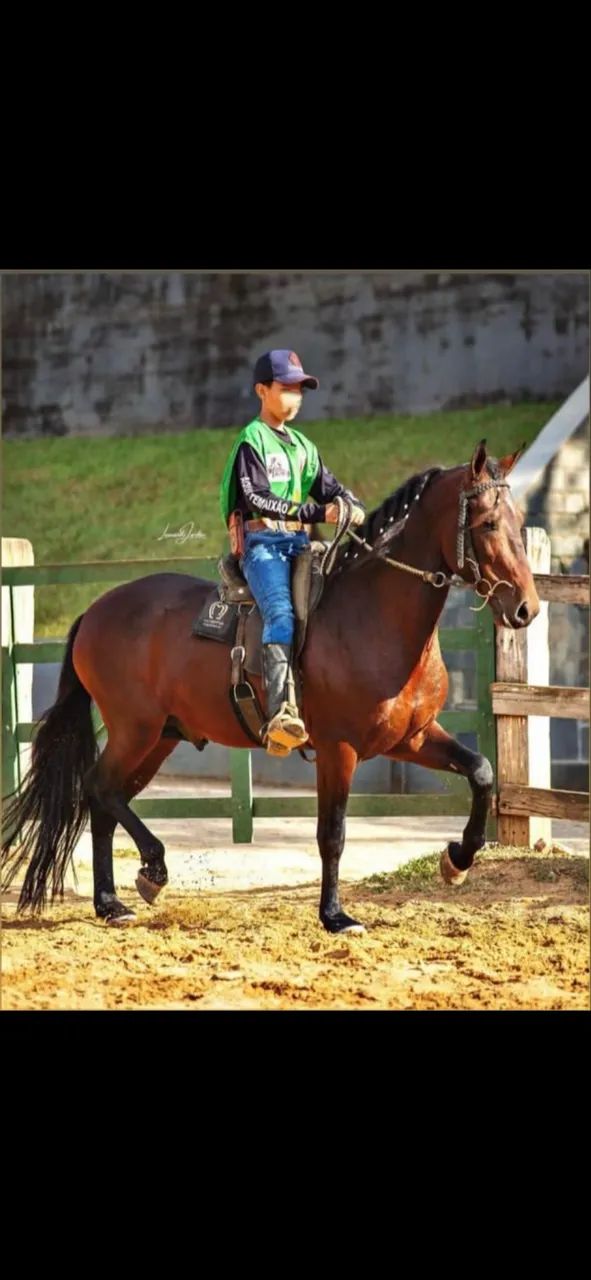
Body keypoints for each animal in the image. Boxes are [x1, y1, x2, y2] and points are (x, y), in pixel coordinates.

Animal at [1, 439, 539, 934]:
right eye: (487, 523)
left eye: (518, 520)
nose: (526, 608)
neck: (371, 615)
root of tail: (95, 611)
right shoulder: (338, 749)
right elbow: (332, 833)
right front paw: (335, 916)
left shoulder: (411, 737)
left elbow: (481, 771)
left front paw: (457, 859)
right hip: (136, 731)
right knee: (99, 788)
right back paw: (146, 873)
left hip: (158, 738)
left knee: (107, 798)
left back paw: (114, 901)